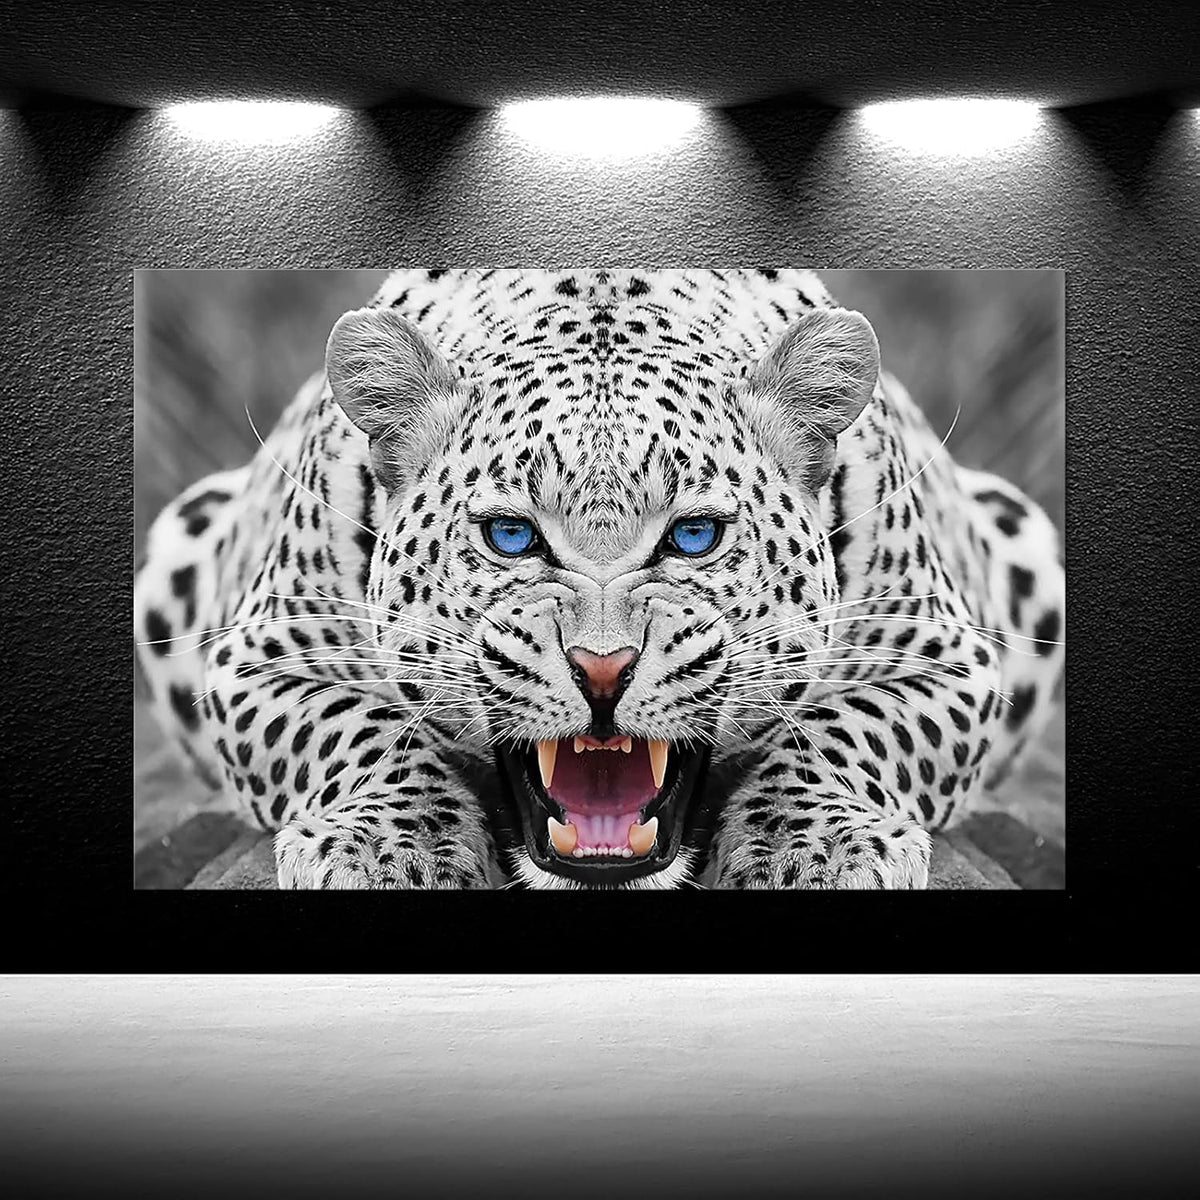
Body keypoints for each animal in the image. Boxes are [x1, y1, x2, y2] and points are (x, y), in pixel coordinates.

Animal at [135, 269, 1064, 889]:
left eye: (693, 536)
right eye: (512, 537)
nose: (603, 671)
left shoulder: (950, 657)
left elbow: (843, 729)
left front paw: (812, 845)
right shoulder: (253, 657)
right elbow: (362, 729)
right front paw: (395, 846)